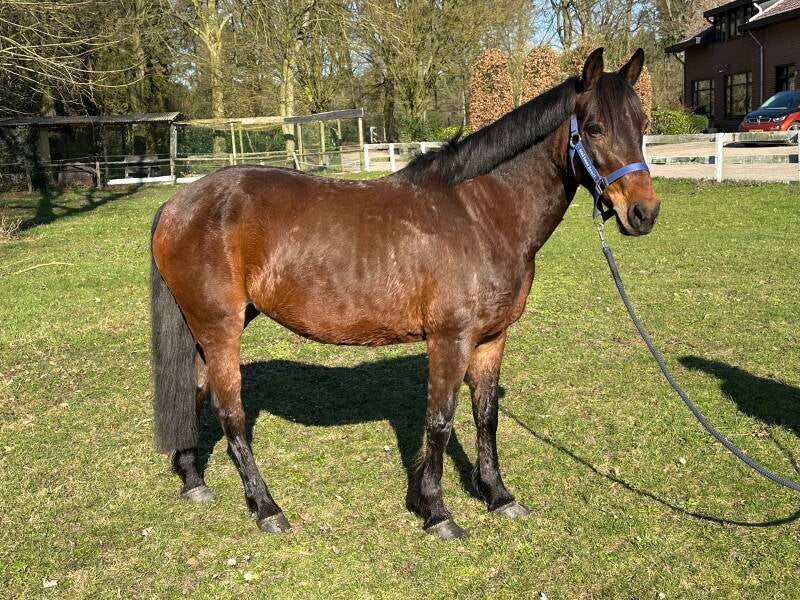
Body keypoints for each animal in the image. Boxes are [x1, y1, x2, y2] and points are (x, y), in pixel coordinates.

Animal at [150, 47, 660, 539]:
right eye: (594, 128)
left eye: (642, 125)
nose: (644, 213)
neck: (481, 214)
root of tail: (178, 203)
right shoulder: (450, 339)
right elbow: (440, 421)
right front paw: (436, 512)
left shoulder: (491, 339)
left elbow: (485, 416)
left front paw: (498, 495)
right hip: (221, 329)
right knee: (230, 413)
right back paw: (267, 508)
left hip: (207, 330)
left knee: (195, 394)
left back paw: (193, 480)